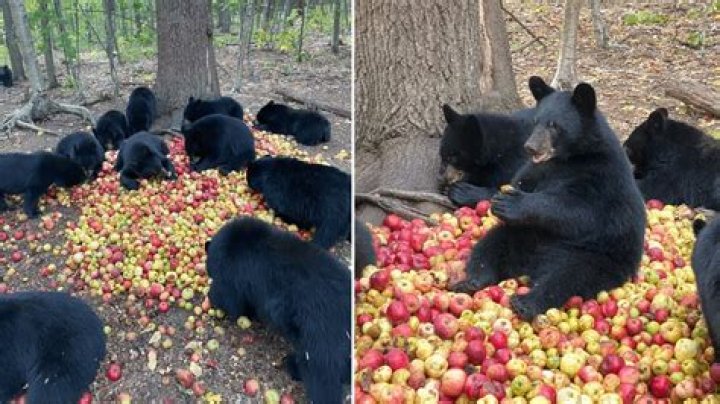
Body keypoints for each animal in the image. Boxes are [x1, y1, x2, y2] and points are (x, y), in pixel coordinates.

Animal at [205, 217, 351, 404]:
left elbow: (230, 300)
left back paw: (292, 366)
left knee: (320, 376)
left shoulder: (233, 276)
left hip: (319, 338)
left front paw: (213, 299)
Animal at [450, 77, 647, 321]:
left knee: (568, 276)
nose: (530, 147)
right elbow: (519, 181)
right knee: (490, 246)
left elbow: (580, 210)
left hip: (595, 254)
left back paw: (527, 302)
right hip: (520, 236)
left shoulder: (601, 176)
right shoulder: (537, 170)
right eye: (536, 121)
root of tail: (530, 265)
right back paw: (472, 281)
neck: (567, 158)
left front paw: (512, 203)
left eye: (554, 125)